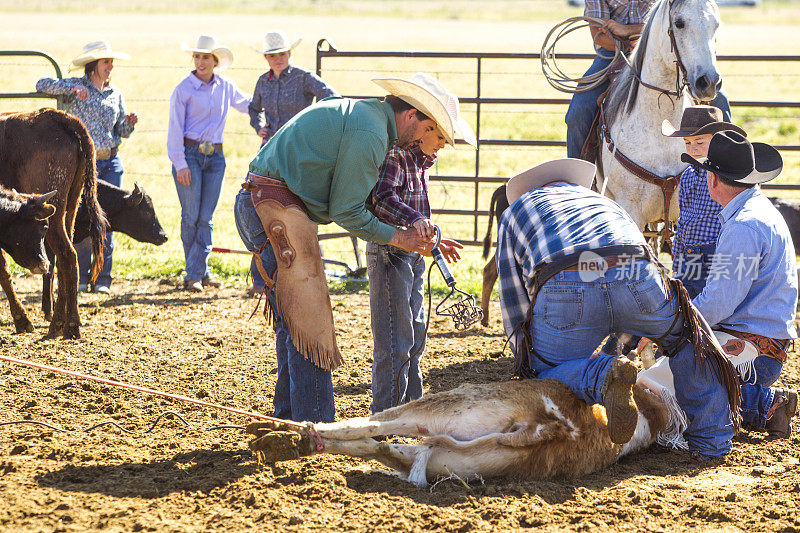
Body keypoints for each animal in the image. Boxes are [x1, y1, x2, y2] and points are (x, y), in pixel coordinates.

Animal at [247, 376, 672, 484]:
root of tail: (554, 425)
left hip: (452, 407)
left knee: (369, 426)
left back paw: (281, 432)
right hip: (461, 458)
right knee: (378, 445)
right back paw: (287, 442)